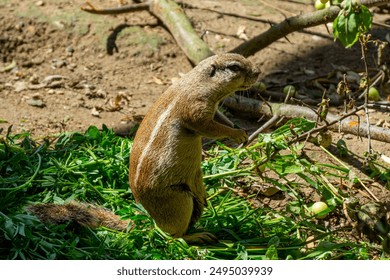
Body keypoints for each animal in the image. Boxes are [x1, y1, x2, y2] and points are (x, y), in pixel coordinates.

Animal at [29, 53, 260, 244]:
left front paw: (240, 130)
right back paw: (197, 237)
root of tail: (149, 220)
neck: (198, 83)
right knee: (172, 237)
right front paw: (239, 134)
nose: (258, 72)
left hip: (195, 203)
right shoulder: (195, 109)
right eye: (234, 67)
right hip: (178, 201)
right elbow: (209, 127)